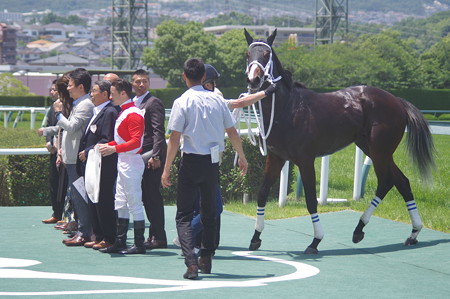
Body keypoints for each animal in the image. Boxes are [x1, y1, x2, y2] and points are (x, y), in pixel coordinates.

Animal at [244, 28, 434, 254]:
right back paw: (413, 232)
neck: (286, 109)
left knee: (386, 182)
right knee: (402, 182)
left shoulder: (306, 161)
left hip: (380, 151)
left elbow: (311, 199)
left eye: (266, 54)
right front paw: (255, 238)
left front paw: (315, 241)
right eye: (248, 55)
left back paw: (359, 229)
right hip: (374, 149)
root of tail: (397, 101)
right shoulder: (276, 158)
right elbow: (262, 193)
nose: (254, 80)